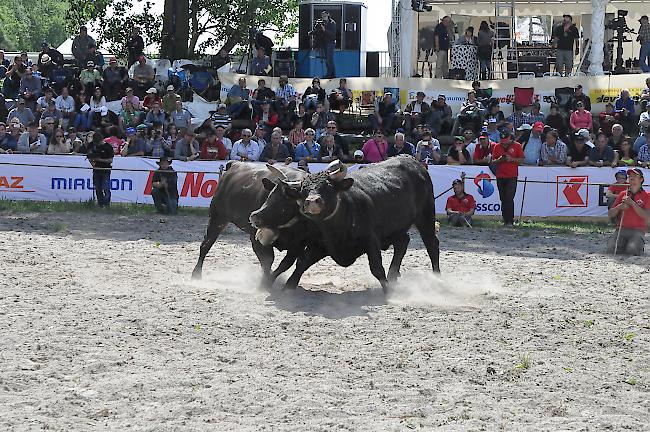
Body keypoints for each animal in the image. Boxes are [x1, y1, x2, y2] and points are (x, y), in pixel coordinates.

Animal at [248, 156, 440, 294]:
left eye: (328, 187)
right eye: (304, 190)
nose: (312, 202)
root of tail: (412, 161)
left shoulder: (371, 239)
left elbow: (376, 267)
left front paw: (387, 292)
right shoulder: (318, 244)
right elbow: (301, 263)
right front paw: (285, 285)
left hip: (425, 216)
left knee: (431, 244)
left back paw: (436, 277)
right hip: (395, 228)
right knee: (403, 242)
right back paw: (393, 276)